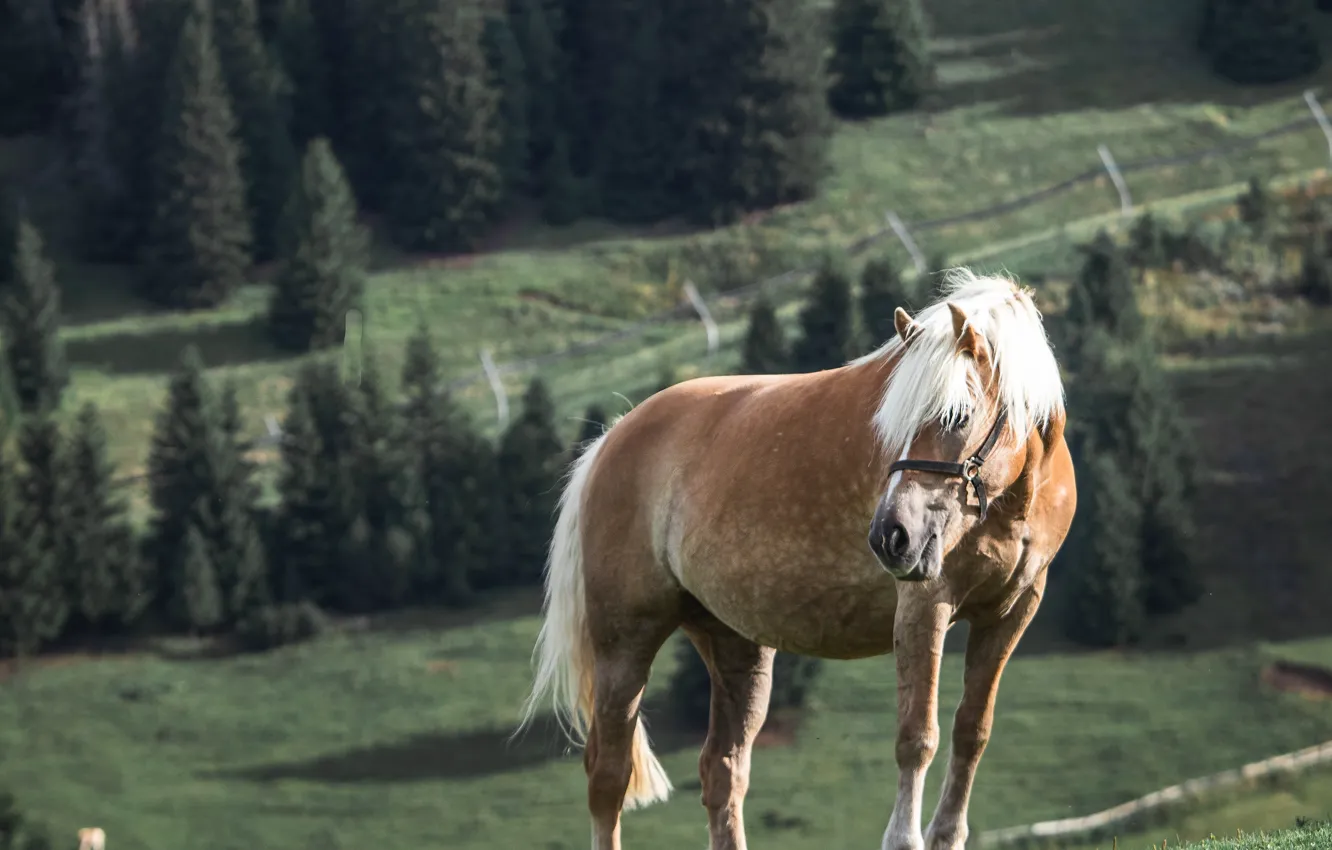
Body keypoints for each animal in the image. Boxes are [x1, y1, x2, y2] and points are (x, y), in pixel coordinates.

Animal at [515, 268, 1077, 850]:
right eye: (894, 422)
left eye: (957, 416)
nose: (890, 536)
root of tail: (609, 441)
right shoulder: (926, 605)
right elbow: (917, 735)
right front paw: (904, 836)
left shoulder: (1011, 612)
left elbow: (972, 730)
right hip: (624, 642)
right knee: (609, 775)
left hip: (734, 645)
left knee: (722, 770)